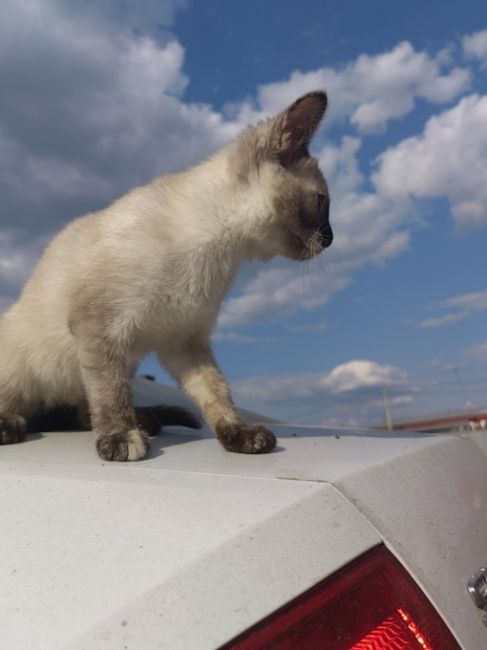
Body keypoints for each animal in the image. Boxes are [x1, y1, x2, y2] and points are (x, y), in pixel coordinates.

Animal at [0, 90, 332, 460]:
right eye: (323, 202)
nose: (331, 239)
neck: (216, 249)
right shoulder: (100, 328)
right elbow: (110, 393)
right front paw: (119, 438)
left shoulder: (183, 340)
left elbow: (216, 391)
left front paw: (239, 435)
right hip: (24, 365)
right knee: (37, 405)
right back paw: (12, 425)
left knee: (81, 413)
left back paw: (145, 421)